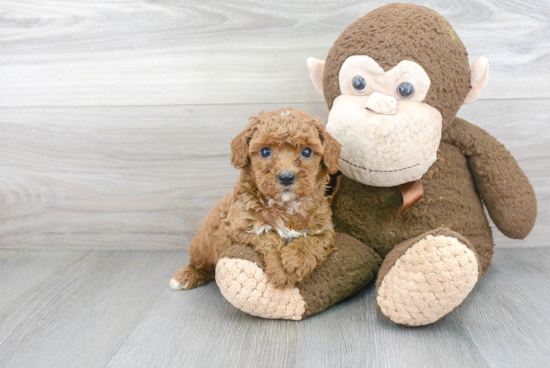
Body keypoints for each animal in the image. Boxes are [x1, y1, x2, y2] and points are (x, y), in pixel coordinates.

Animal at [170, 107, 342, 290]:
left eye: (307, 152)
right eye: (265, 151)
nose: (286, 177)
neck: (285, 206)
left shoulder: (324, 230)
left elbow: (311, 242)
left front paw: (292, 263)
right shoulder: (238, 227)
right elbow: (268, 236)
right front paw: (279, 271)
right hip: (202, 245)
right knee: (201, 265)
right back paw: (184, 277)